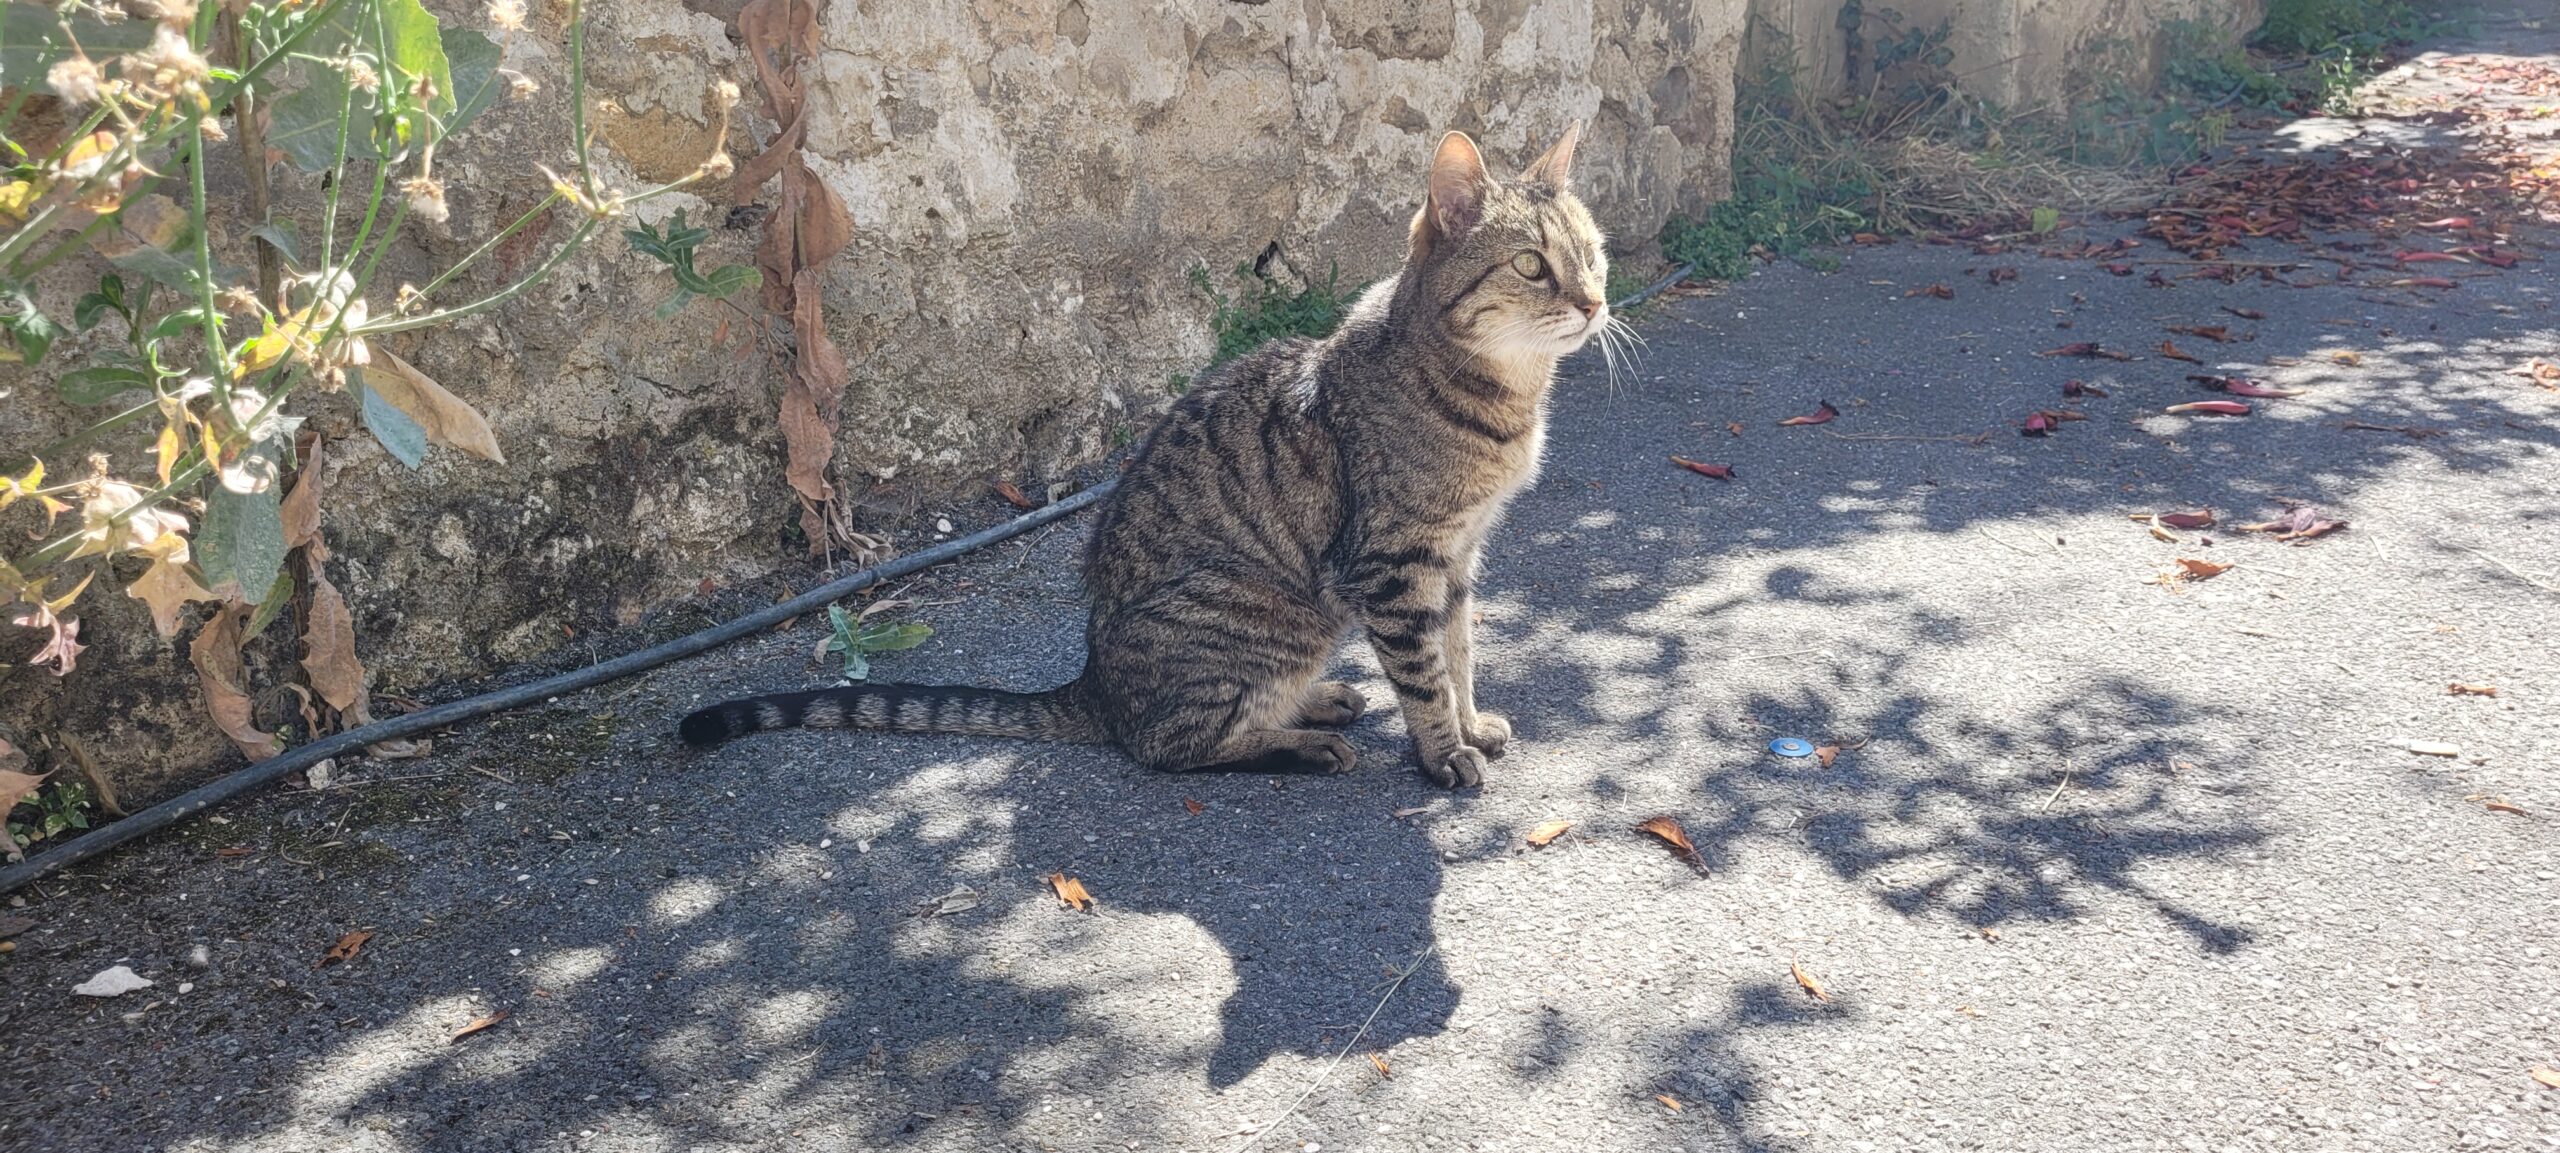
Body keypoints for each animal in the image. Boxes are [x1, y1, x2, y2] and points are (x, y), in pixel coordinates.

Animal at [675, 128, 1597, 794]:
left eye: (1591, 253)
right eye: (1530, 265)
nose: (1594, 302)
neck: (1503, 401)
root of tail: (1090, 682)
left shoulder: (1459, 555)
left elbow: (1460, 653)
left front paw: (1471, 722)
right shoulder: (1396, 564)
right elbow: (1425, 671)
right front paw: (1444, 752)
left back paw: (1319, 701)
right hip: (1271, 605)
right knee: (1168, 743)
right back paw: (1299, 741)